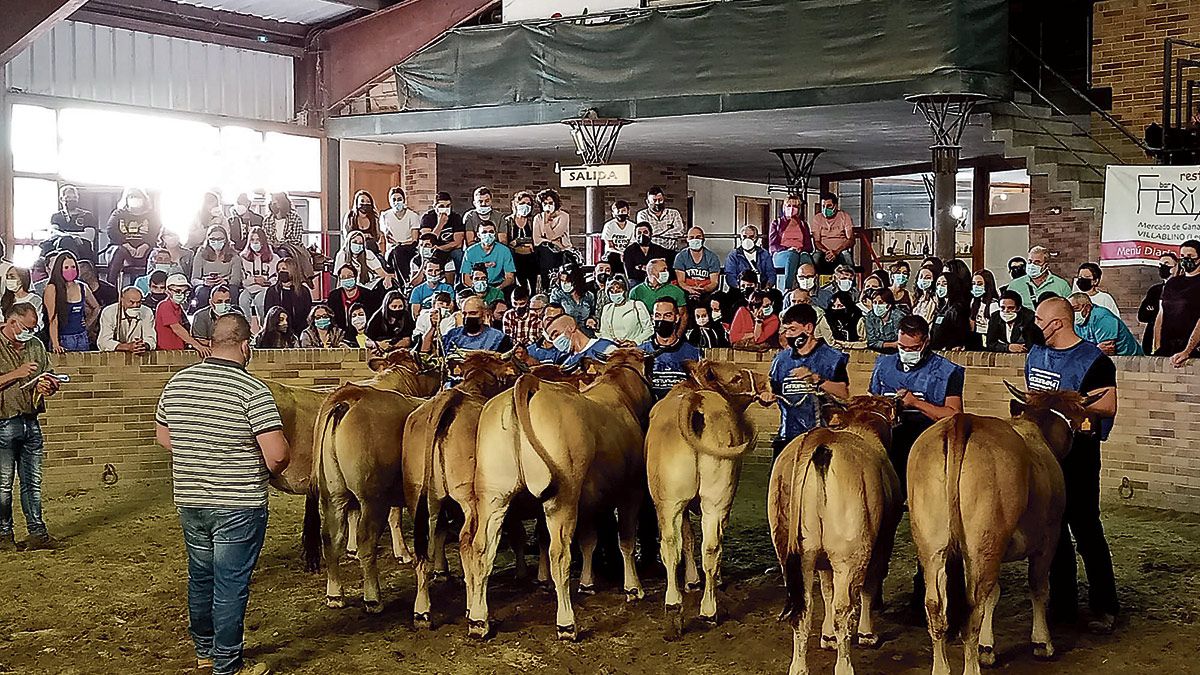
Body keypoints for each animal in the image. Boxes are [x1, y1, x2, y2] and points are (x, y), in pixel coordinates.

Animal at [463, 345, 652, 634]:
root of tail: (531, 382)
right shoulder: (631, 490)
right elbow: (626, 540)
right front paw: (633, 587)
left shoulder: (590, 500)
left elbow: (588, 540)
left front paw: (587, 582)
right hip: (562, 498)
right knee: (559, 553)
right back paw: (566, 623)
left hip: (494, 496)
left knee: (482, 549)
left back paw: (478, 619)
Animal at [648, 357, 768, 634]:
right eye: (736, 376)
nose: (766, 381)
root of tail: (696, 400)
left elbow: (689, 539)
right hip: (715, 499)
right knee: (707, 546)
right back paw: (705, 609)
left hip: (674, 501)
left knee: (676, 545)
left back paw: (680, 609)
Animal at [768, 393, 902, 672]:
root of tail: (819, 440)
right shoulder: (882, 542)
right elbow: (869, 587)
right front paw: (867, 634)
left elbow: (826, 590)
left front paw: (827, 636)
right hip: (850, 554)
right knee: (843, 609)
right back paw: (844, 666)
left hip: (793, 551)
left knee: (803, 608)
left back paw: (799, 667)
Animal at [907, 381, 1099, 667]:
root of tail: (961, 422)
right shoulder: (1048, 537)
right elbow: (1038, 586)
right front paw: (1042, 642)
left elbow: (994, 594)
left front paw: (988, 646)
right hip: (984, 544)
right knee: (973, 608)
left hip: (933, 544)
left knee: (935, 606)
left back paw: (941, 667)